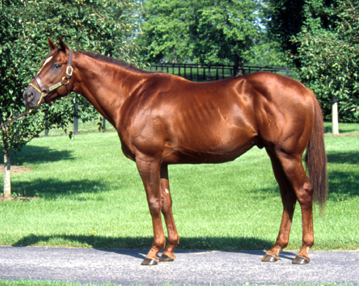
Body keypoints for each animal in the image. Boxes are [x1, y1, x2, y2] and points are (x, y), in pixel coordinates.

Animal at [21, 37, 326, 266]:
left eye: (56, 64)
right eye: (43, 62)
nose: (28, 95)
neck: (133, 95)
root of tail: (303, 90)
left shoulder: (146, 160)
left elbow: (153, 202)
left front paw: (153, 252)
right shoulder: (162, 163)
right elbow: (167, 202)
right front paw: (169, 250)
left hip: (287, 155)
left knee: (303, 193)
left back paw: (302, 252)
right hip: (275, 155)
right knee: (288, 196)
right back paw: (275, 250)